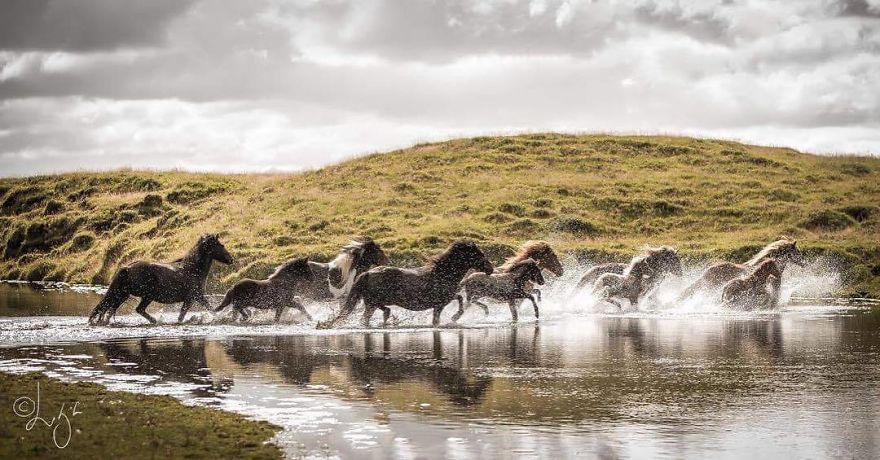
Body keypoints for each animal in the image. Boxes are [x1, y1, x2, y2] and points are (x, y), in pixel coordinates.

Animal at [88, 234, 234, 325]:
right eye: (221, 245)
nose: (231, 259)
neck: (192, 270)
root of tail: (127, 268)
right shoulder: (194, 297)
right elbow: (206, 310)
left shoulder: (194, 298)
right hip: (146, 295)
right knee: (136, 309)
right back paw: (156, 321)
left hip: (123, 294)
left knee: (110, 309)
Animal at [317, 240, 494, 329]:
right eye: (478, 254)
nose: (490, 269)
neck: (442, 274)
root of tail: (366, 273)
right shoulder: (440, 303)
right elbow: (447, 312)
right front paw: (455, 317)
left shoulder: (444, 300)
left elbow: (458, 299)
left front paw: (454, 318)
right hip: (373, 302)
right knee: (371, 315)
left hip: (371, 303)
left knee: (370, 316)